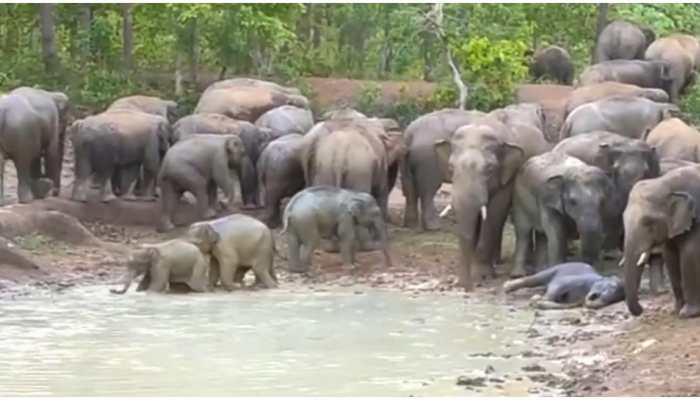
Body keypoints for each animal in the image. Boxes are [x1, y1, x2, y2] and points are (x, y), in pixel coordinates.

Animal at [432, 117, 552, 290]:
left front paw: (482, 276)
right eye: (450, 167)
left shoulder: (508, 178)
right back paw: (497, 261)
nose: (465, 286)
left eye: (489, 169)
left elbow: (495, 212)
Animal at [620, 163, 700, 318]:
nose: (641, 309)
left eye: (648, 222)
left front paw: (687, 314)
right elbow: (670, 256)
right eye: (623, 218)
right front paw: (675, 310)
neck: (664, 183)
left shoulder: (697, 217)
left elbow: (689, 255)